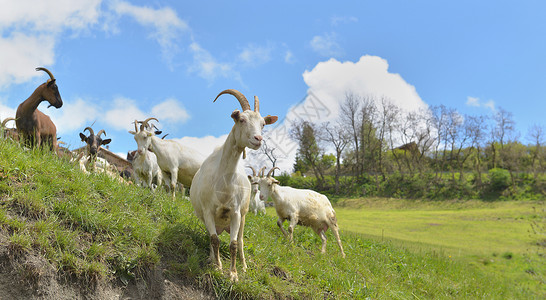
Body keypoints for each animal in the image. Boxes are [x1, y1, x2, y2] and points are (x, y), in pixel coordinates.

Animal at [190, 89, 276, 282]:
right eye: (241, 119)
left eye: (263, 124)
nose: (258, 138)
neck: (223, 183)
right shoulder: (208, 211)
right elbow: (214, 240)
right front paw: (218, 267)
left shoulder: (236, 212)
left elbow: (234, 244)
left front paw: (234, 274)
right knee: (211, 236)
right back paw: (211, 258)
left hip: (243, 217)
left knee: (241, 240)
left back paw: (244, 266)